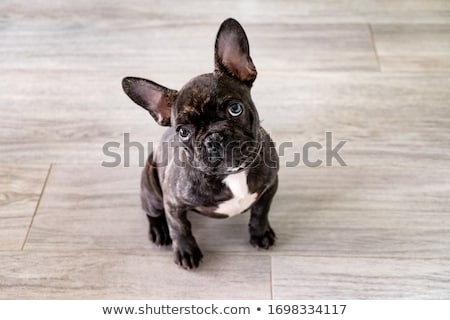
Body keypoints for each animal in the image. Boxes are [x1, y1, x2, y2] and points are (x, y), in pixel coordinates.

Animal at [122, 16, 278, 268]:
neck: (231, 174)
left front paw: (260, 233)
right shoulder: (173, 203)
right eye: (183, 132)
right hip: (152, 189)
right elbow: (180, 228)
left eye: (235, 109)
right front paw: (186, 251)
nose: (213, 138)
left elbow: (260, 213)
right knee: (153, 212)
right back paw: (159, 231)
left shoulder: (270, 186)